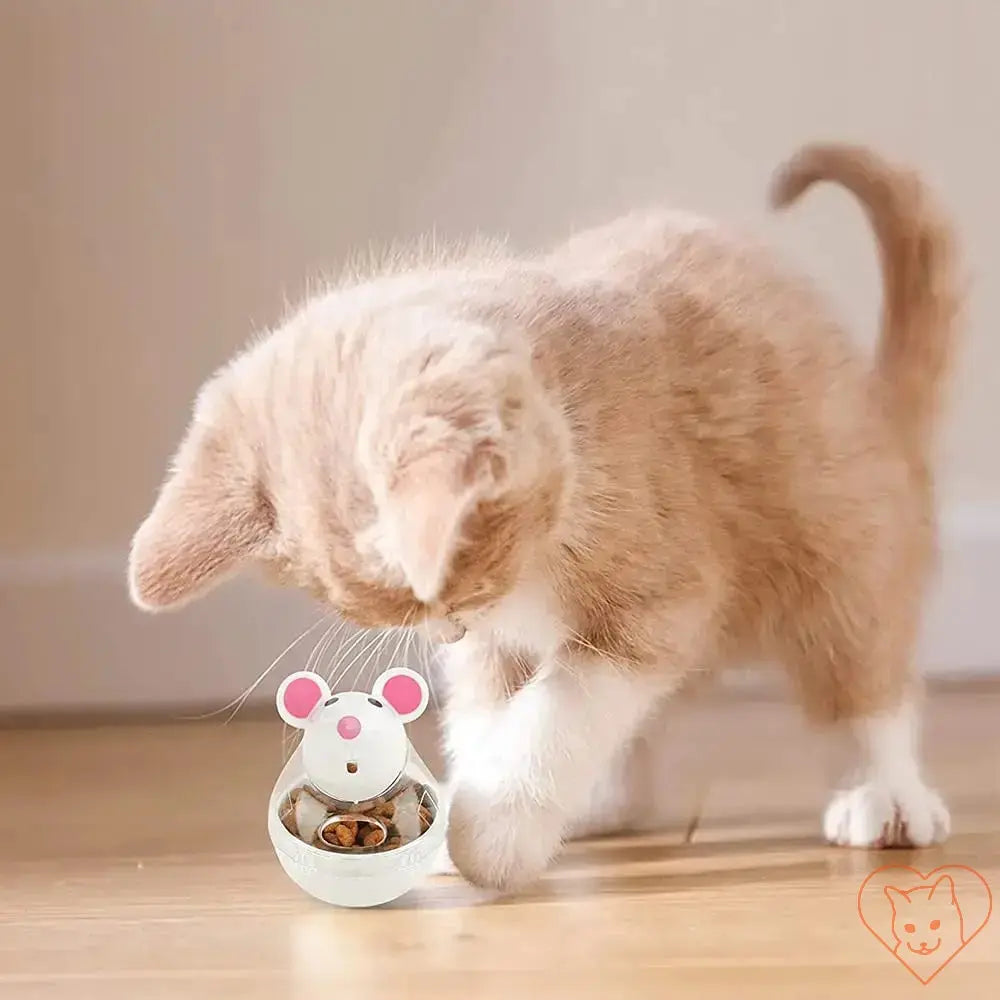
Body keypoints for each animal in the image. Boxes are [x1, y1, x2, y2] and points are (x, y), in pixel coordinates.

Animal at [129, 143, 956, 892]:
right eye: (403, 612)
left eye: (457, 589)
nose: (447, 630)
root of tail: (880, 411)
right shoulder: (495, 645)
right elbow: (486, 715)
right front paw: (457, 808)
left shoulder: (663, 593)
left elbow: (560, 715)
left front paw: (494, 829)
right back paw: (603, 806)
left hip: (839, 539)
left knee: (862, 673)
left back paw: (887, 795)